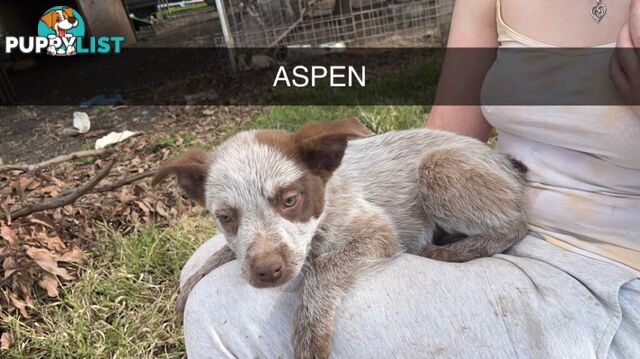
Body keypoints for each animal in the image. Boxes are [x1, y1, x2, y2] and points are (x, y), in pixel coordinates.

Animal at [152, 117, 528, 358]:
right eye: (226, 217)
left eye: (290, 201)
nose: (267, 272)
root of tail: (502, 159)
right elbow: (224, 252)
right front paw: (188, 288)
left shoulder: (379, 233)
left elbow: (324, 267)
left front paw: (308, 334)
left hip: (438, 167)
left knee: (516, 224)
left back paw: (453, 250)